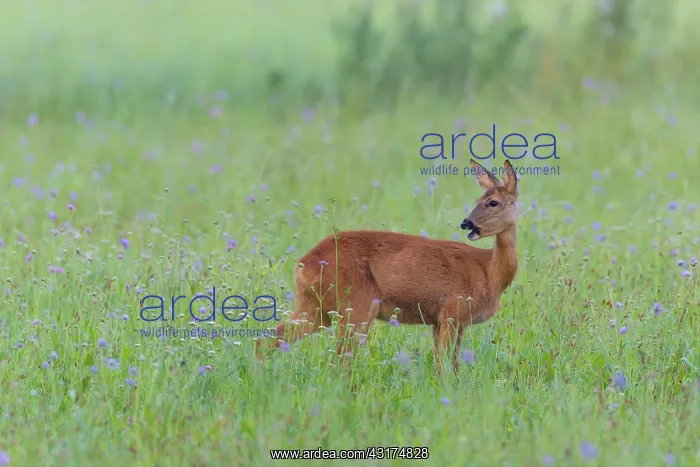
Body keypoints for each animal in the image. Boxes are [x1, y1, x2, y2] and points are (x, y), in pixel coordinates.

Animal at [256, 159, 519, 376]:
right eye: (478, 201)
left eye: (493, 202)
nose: (467, 223)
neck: (489, 272)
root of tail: (303, 265)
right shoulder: (453, 311)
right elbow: (446, 366)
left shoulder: (440, 321)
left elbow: (444, 364)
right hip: (356, 306)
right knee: (341, 360)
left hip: (316, 308)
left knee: (267, 338)